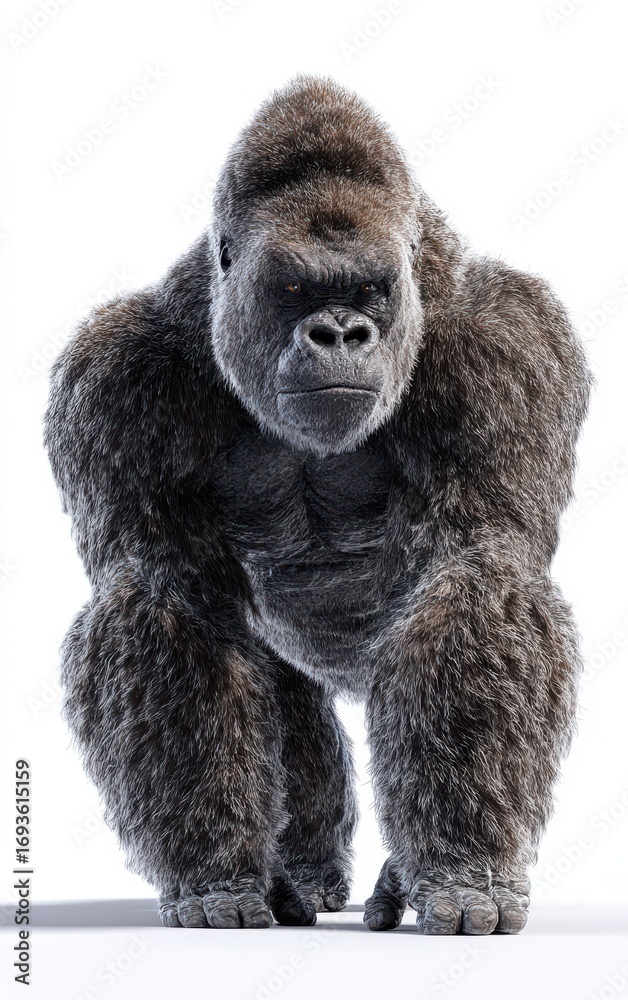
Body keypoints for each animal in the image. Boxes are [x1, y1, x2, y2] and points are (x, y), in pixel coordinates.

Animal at [44, 75, 591, 934]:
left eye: (368, 289)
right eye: (295, 288)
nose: (339, 332)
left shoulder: (508, 347)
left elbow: (478, 575)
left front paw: (464, 869)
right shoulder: (116, 375)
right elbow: (167, 599)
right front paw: (215, 873)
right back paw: (300, 873)